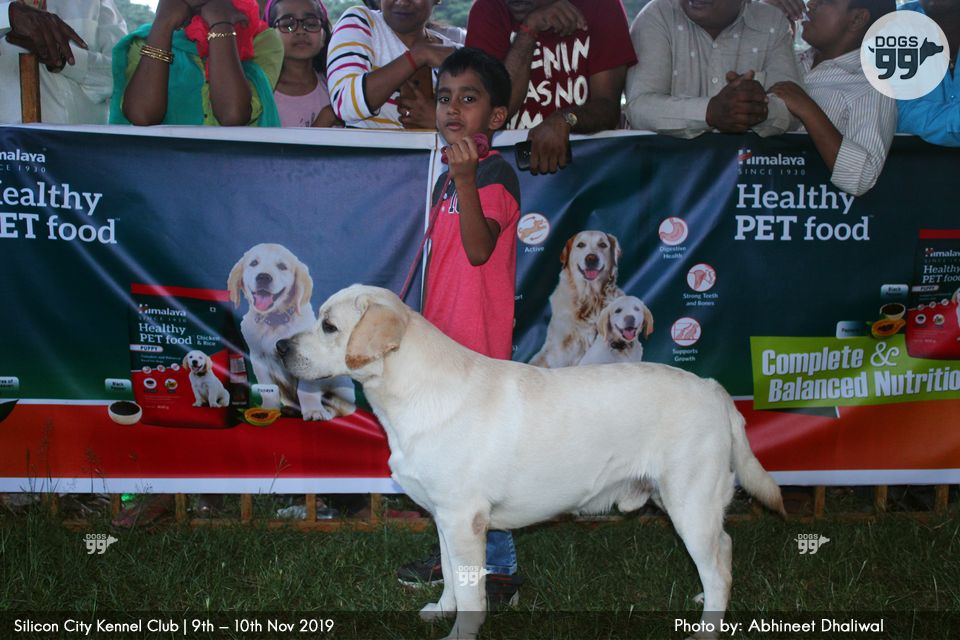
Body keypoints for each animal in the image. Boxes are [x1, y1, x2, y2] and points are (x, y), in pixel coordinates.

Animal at [227, 243, 354, 421]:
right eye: (253, 263)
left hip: (342, 385)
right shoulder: (258, 359)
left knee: (344, 408)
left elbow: (306, 390)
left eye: (282, 266)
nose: (263, 277)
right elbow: (268, 388)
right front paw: (268, 409)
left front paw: (314, 411)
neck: (275, 320)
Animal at [279, 285, 784, 640]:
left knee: (718, 563)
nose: (281, 347)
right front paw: (441, 610)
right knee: (724, 551)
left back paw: (706, 629)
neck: (413, 392)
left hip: (689, 500)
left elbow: (472, 593)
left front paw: (460, 633)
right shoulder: (445, 516)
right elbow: (451, 575)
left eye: (328, 326)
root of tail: (714, 388)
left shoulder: (465, 519)